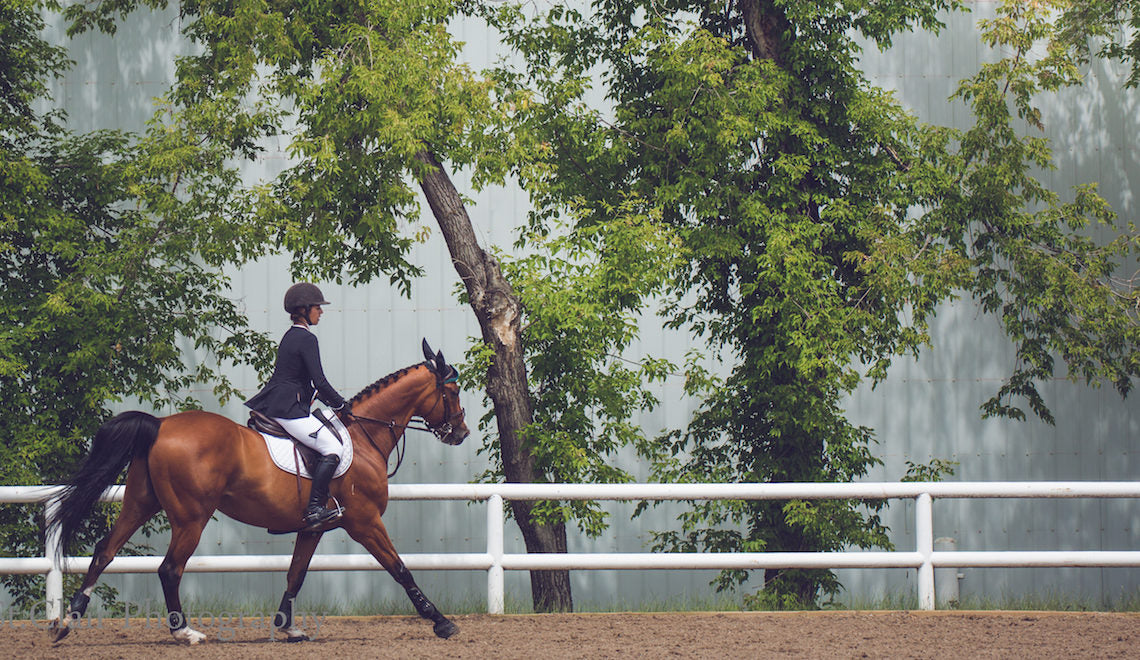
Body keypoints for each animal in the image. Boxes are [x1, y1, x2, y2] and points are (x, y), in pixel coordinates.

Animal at [46, 339, 469, 644]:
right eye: (453, 393)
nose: (461, 433)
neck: (365, 436)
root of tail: (161, 425)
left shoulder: (313, 528)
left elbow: (295, 574)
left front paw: (287, 626)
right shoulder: (364, 521)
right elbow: (400, 568)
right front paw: (441, 622)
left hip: (140, 502)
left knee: (105, 551)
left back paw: (67, 622)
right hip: (191, 516)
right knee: (169, 568)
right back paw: (185, 632)